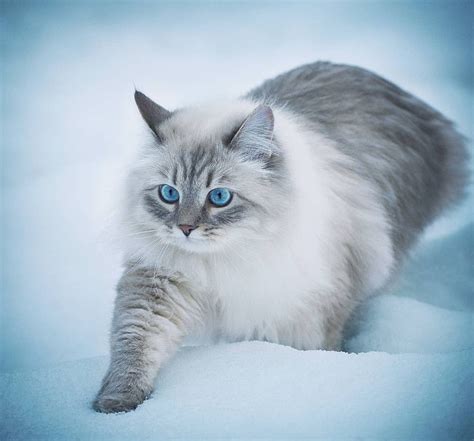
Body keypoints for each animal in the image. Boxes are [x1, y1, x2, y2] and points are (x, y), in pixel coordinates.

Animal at [92, 61, 466, 412]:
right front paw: (116, 404)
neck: (225, 259)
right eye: (169, 194)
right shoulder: (158, 284)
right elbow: (135, 346)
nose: (185, 229)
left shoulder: (303, 312)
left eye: (219, 197)